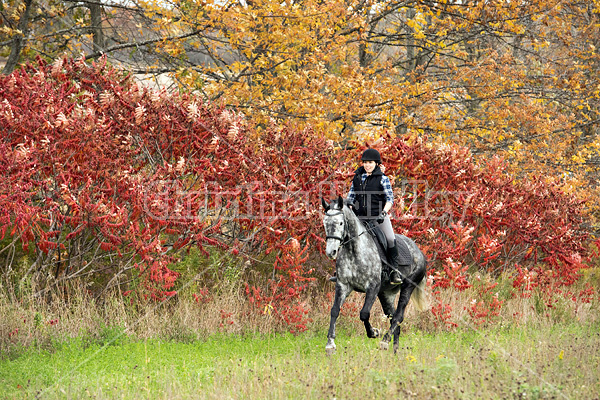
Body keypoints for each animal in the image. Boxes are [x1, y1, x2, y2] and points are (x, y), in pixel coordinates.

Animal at [322, 195, 428, 354]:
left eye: (340, 223)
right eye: (325, 223)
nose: (331, 252)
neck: (354, 249)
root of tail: (419, 252)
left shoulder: (372, 286)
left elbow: (364, 313)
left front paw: (374, 332)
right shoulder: (343, 285)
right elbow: (334, 310)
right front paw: (330, 344)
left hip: (408, 286)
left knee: (398, 317)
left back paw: (384, 341)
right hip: (386, 294)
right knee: (393, 318)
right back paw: (395, 351)